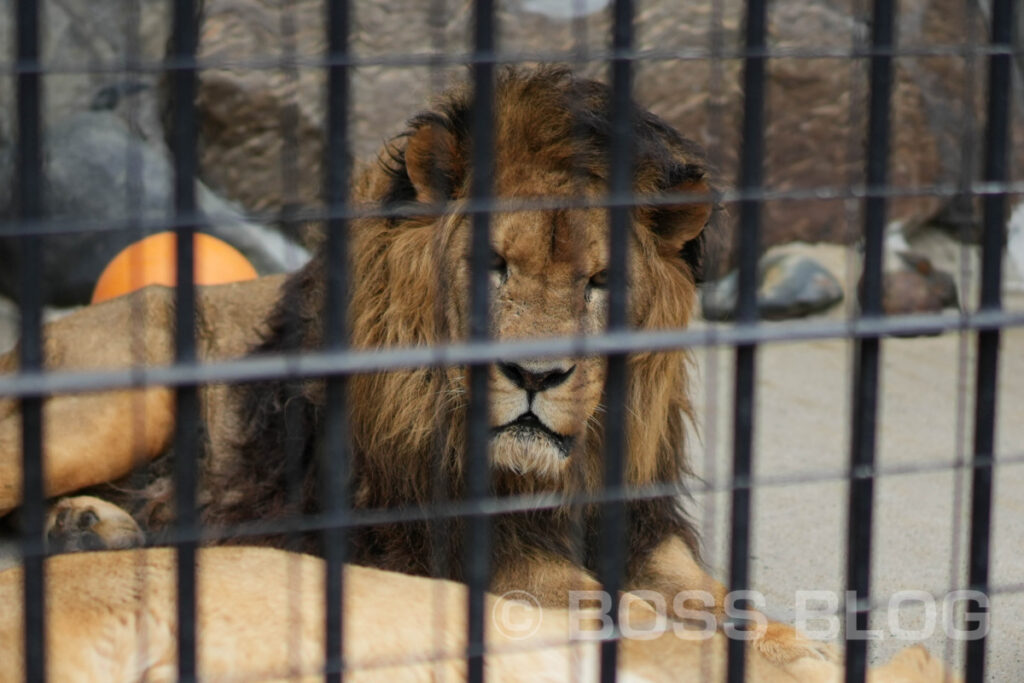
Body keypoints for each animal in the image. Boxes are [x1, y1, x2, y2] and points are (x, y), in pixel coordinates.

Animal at [2, 68, 815, 663]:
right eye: (494, 267)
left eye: (599, 282)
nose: (535, 376)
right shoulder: (507, 571)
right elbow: (642, 618)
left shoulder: (646, 532)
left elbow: (730, 604)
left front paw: (793, 645)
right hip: (119, 402)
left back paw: (87, 529)